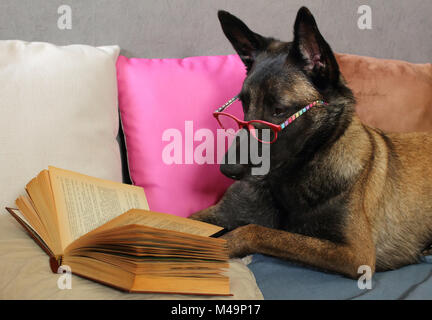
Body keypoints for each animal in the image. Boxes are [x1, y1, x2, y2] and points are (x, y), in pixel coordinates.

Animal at [191, 6, 432, 278]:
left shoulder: (355, 255)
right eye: (244, 104)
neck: (291, 179)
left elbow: (255, 230)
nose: (227, 169)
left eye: (278, 110)